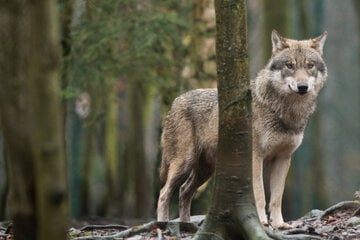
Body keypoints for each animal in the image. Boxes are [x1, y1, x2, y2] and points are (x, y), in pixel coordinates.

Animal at [156, 30, 328, 229]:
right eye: (290, 66)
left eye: (310, 66)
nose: (302, 87)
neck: (285, 111)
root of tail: (175, 102)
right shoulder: (255, 157)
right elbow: (260, 194)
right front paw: (261, 222)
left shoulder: (283, 158)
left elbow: (277, 198)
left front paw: (279, 224)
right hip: (184, 164)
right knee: (164, 193)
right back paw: (162, 224)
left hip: (205, 170)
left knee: (184, 191)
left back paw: (186, 226)